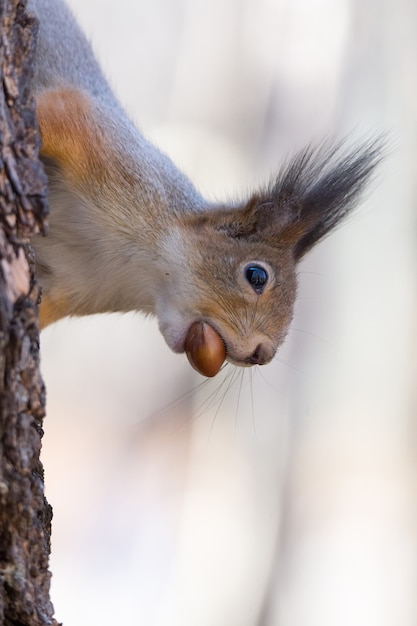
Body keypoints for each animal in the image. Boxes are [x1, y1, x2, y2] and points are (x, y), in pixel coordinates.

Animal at [27, 0, 382, 376]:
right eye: (256, 275)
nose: (263, 354)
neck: (133, 268)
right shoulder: (102, 143)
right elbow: (52, 113)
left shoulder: (66, 288)